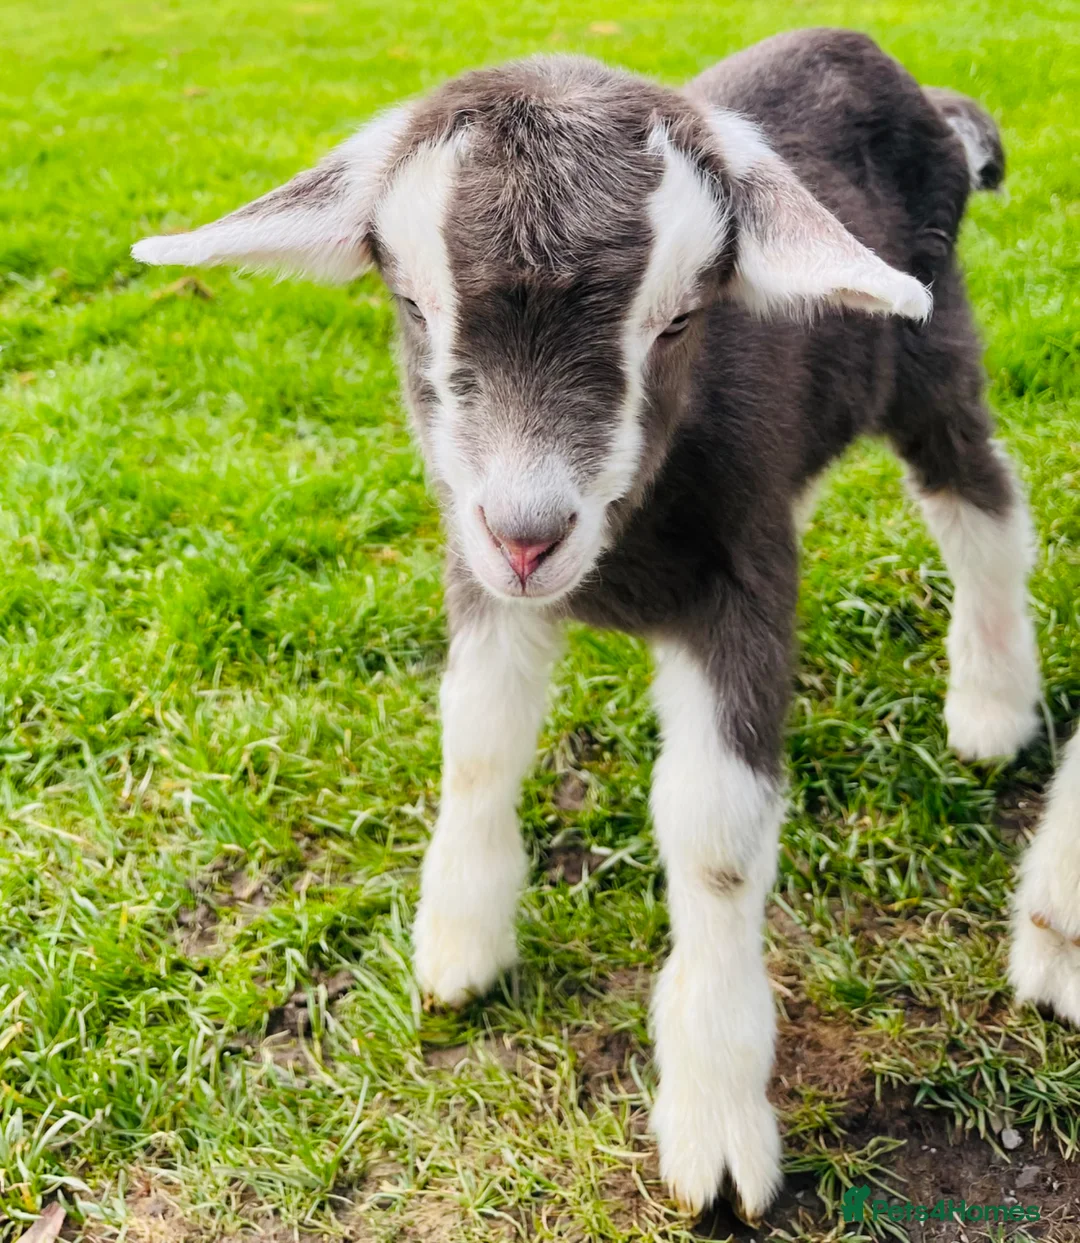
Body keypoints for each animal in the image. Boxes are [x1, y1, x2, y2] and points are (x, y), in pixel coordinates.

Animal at [133, 28, 1044, 1219]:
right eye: (413, 306)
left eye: (681, 317)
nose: (530, 534)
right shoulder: (479, 572)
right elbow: (478, 738)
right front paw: (459, 940)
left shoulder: (743, 579)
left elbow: (712, 832)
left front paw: (714, 1120)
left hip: (934, 345)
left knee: (981, 503)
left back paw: (992, 705)